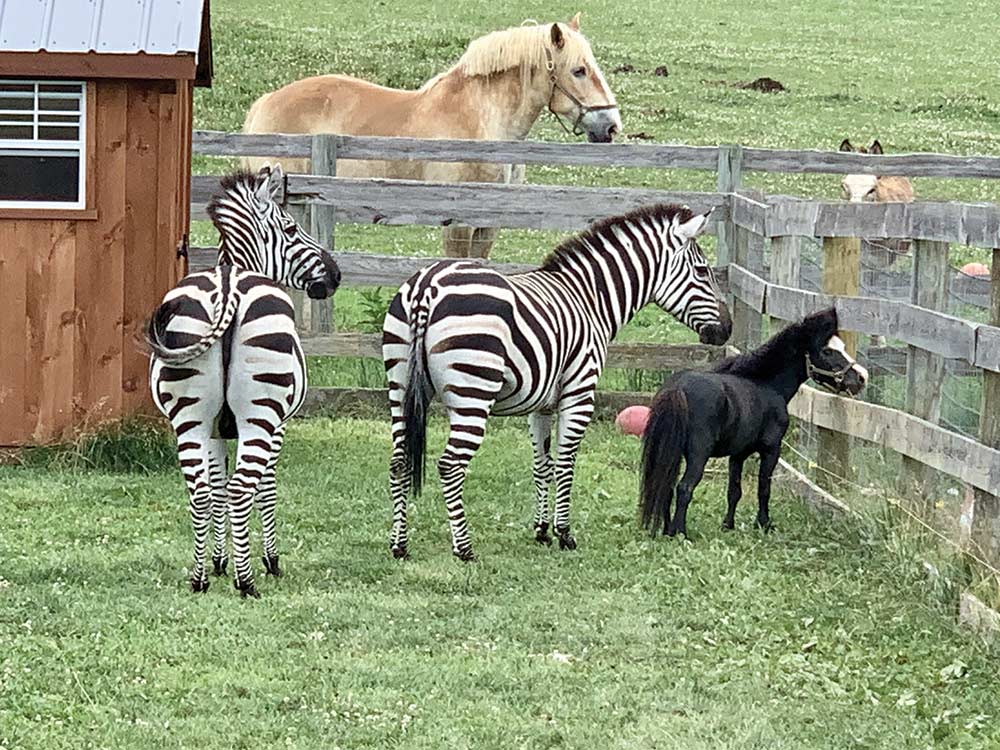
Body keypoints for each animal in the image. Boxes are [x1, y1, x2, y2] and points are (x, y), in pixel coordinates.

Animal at [145, 164, 340, 600]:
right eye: (290, 228)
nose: (335, 275)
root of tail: (227, 287)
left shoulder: (215, 428)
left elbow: (215, 484)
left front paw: (219, 560)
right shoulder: (280, 425)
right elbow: (265, 487)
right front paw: (269, 560)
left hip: (189, 416)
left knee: (201, 490)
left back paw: (199, 578)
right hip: (259, 415)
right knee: (242, 488)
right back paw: (247, 582)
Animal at [243, 14, 620, 260]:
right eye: (579, 70)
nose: (611, 125)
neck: (481, 120)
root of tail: (264, 102)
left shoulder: (490, 224)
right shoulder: (458, 223)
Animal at [382, 203, 736, 560]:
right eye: (703, 271)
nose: (727, 329)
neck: (591, 300)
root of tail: (427, 286)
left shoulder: (540, 404)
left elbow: (543, 464)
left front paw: (541, 531)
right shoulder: (579, 394)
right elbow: (566, 464)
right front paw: (564, 533)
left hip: (399, 385)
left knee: (399, 461)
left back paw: (399, 545)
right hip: (473, 392)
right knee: (451, 465)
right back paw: (464, 548)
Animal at [640, 308, 868, 536]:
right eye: (827, 351)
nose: (861, 377)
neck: (766, 386)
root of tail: (677, 388)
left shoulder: (738, 454)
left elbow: (734, 491)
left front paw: (728, 525)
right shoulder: (771, 449)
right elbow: (764, 488)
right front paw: (764, 524)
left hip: (671, 451)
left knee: (665, 486)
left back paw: (666, 529)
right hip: (698, 454)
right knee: (684, 488)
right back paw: (680, 532)